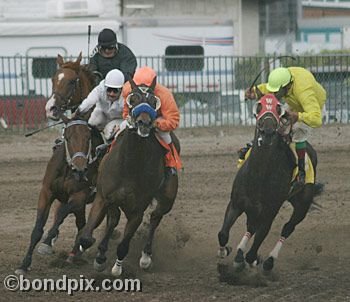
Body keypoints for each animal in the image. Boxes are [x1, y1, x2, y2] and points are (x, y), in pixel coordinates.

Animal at [15, 112, 103, 274]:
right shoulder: (46, 192)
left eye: (88, 137)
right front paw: (24, 264)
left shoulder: (79, 196)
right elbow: (37, 228)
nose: (80, 168)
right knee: (81, 224)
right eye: (67, 137)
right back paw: (74, 254)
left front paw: (47, 241)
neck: (67, 170)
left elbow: (62, 213)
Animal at [75, 76, 179, 276]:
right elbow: (87, 236)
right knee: (113, 220)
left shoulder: (137, 210)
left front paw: (117, 267)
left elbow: (124, 246)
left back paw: (146, 257)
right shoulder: (103, 197)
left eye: (154, 101)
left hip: (168, 198)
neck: (130, 165)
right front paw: (94, 254)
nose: (144, 123)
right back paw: (101, 253)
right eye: (133, 99)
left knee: (155, 217)